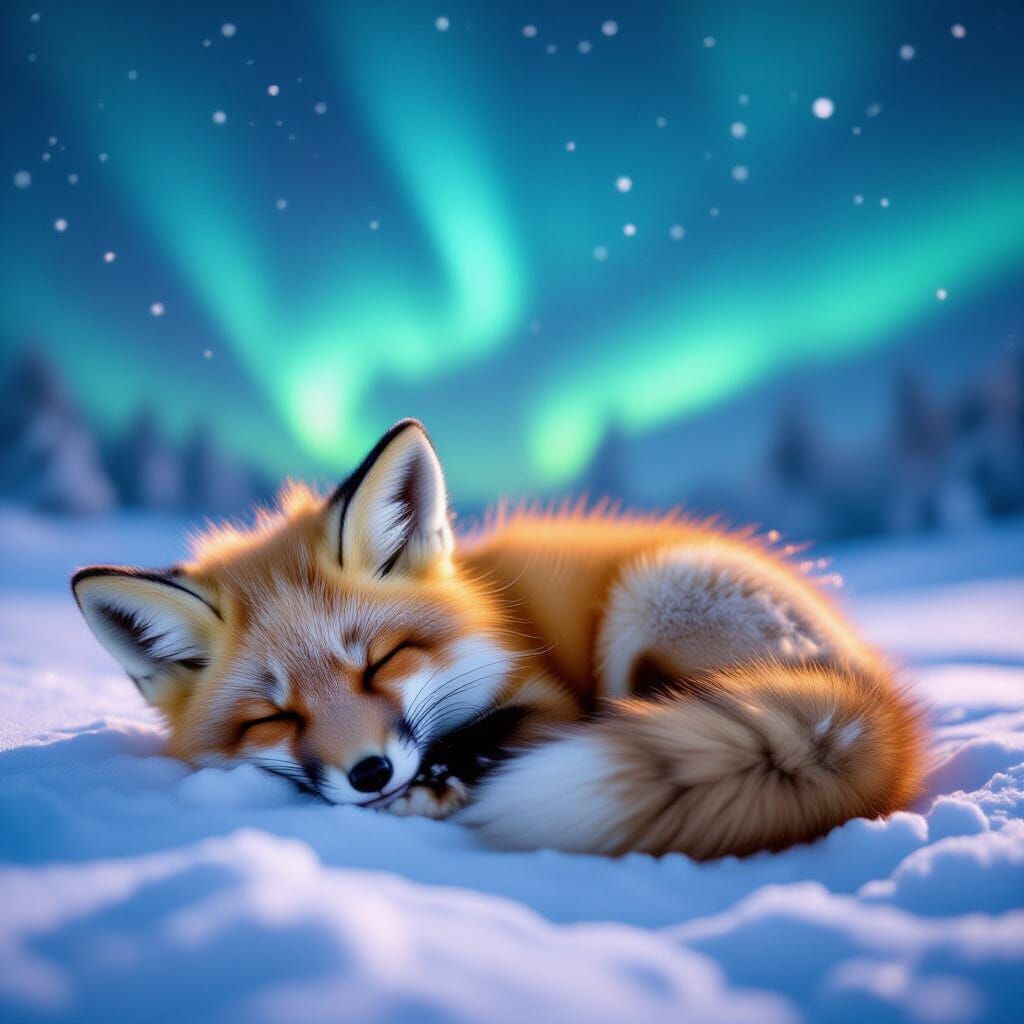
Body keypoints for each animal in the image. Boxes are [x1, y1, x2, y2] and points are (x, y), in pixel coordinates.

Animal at [71, 419, 925, 859]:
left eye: (383, 661)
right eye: (273, 717)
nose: (371, 774)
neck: (487, 610)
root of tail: (869, 698)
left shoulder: (546, 698)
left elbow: (501, 730)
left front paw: (442, 780)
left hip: (648, 598)